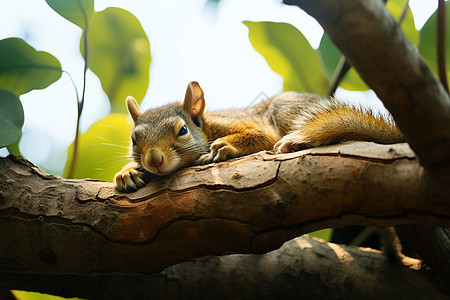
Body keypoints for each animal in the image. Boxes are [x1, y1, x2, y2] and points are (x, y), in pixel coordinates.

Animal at [114, 80, 406, 192]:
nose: (154, 160)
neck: (206, 128)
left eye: (182, 130)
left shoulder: (247, 125)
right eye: (134, 139)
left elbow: (260, 137)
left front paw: (224, 147)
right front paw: (127, 173)